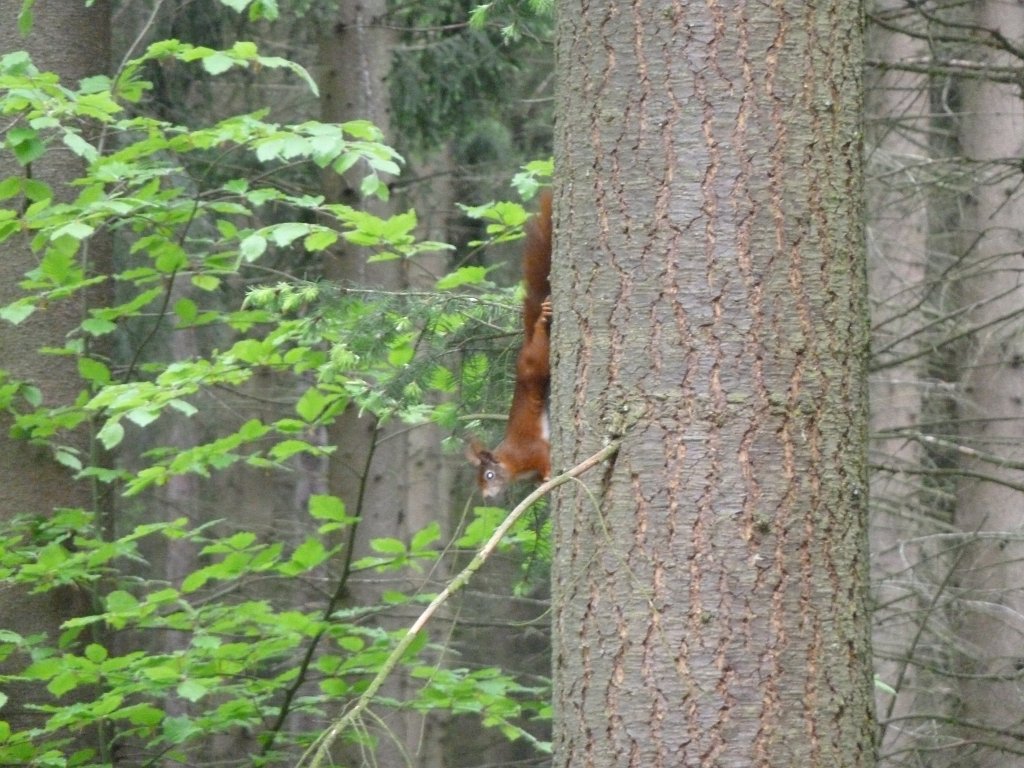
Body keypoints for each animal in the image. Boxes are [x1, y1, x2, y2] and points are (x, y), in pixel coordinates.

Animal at [466, 190, 552, 498]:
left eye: (489, 475)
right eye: (479, 480)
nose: (486, 496)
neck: (509, 461)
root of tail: (523, 349)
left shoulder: (532, 451)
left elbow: (545, 456)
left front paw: (550, 476)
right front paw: (540, 484)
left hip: (536, 362)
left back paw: (542, 320)